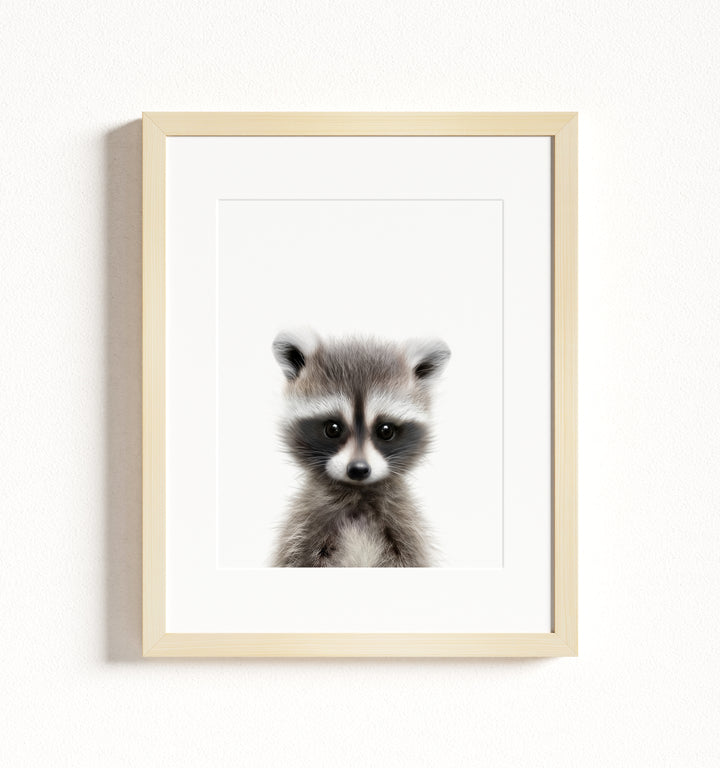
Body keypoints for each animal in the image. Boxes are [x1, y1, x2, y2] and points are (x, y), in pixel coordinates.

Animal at [270, 329, 450, 567]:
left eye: (385, 430)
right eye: (333, 429)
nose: (358, 469)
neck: (358, 496)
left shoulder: (405, 527)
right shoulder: (305, 527)